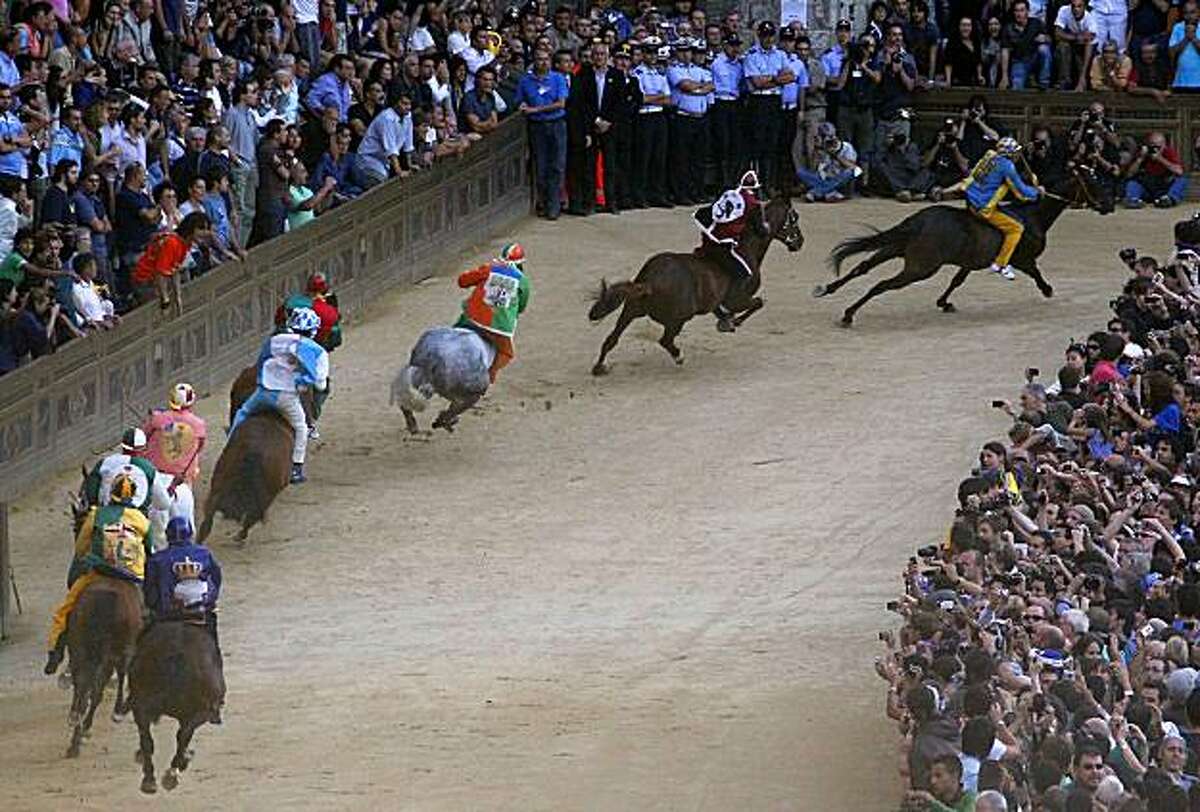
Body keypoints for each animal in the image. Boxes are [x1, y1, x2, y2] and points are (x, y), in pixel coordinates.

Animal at [130, 618, 225, 791]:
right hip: (198, 712)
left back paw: (150, 779)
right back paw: (173, 771)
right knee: (182, 735)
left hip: (141, 706)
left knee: (147, 739)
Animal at [585, 194, 801, 374]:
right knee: (665, 341)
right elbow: (758, 302)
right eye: (794, 218)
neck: (747, 248)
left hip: (630, 311)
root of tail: (650, 281)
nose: (800, 242)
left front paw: (727, 321)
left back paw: (599, 367)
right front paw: (734, 322)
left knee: (611, 339)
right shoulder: (738, 300)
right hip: (677, 319)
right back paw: (679, 357)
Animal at [816, 165, 1113, 326]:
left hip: (895, 249)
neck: (1032, 216)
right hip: (920, 267)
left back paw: (827, 289)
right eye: (1094, 181)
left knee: (863, 267)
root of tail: (919, 221)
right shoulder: (1022, 259)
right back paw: (848, 314)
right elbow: (1036, 272)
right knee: (881, 285)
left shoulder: (970, 262)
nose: (1109, 205)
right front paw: (1047, 289)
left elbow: (957, 281)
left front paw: (944, 302)